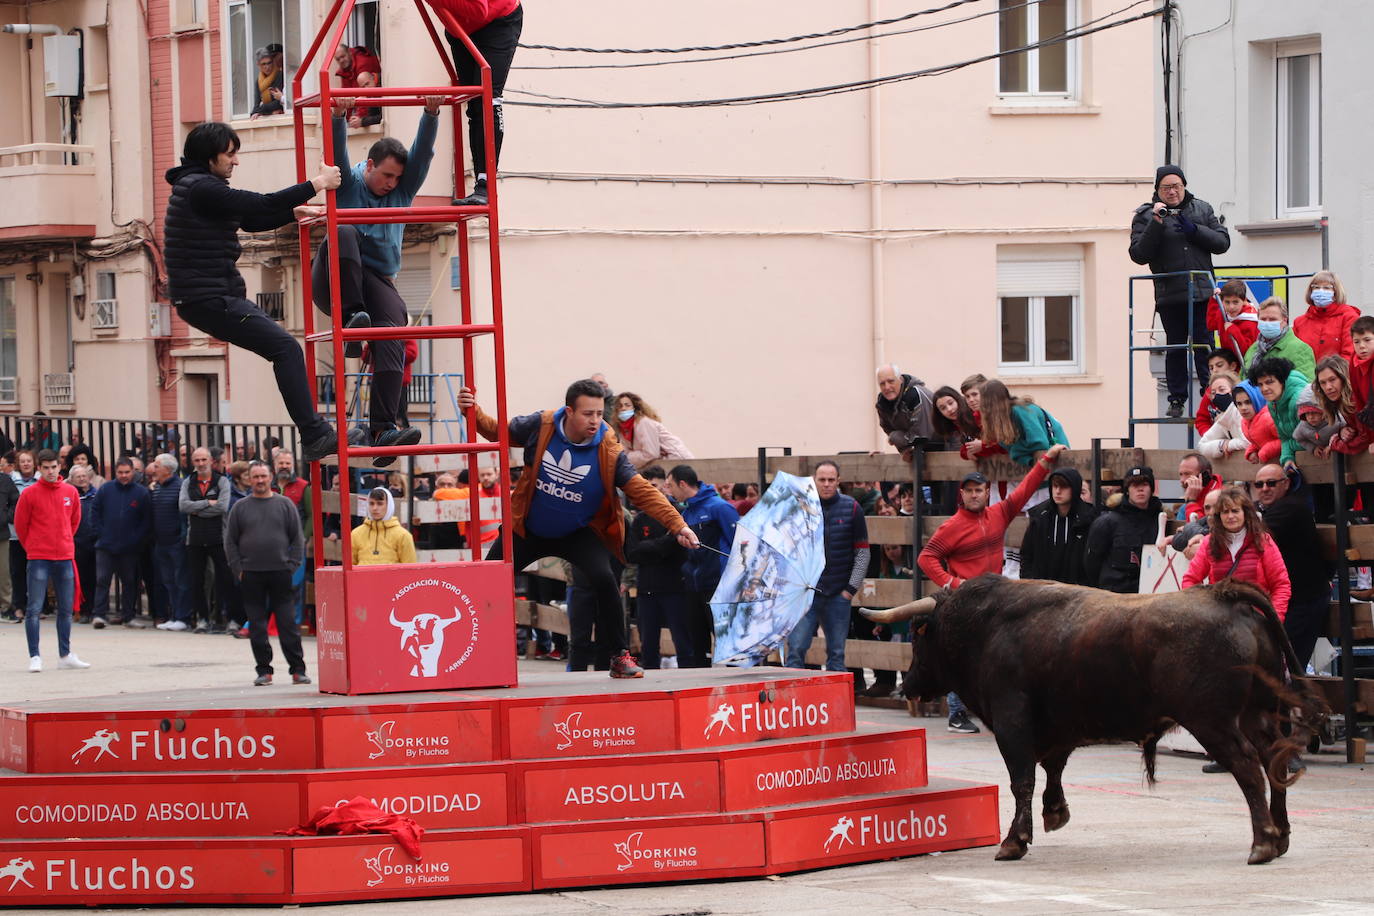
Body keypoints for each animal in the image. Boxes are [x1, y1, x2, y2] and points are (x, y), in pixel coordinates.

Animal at [862, 576, 1324, 862]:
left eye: (919, 636)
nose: (909, 684)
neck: (985, 625)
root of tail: (1222, 594)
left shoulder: (1012, 722)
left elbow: (1022, 778)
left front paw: (1014, 840)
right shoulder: (1058, 724)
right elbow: (1052, 766)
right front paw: (1054, 812)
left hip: (1213, 721)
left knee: (1247, 767)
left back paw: (1262, 843)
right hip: (1257, 714)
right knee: (1275, 760)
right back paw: (1281, 835)